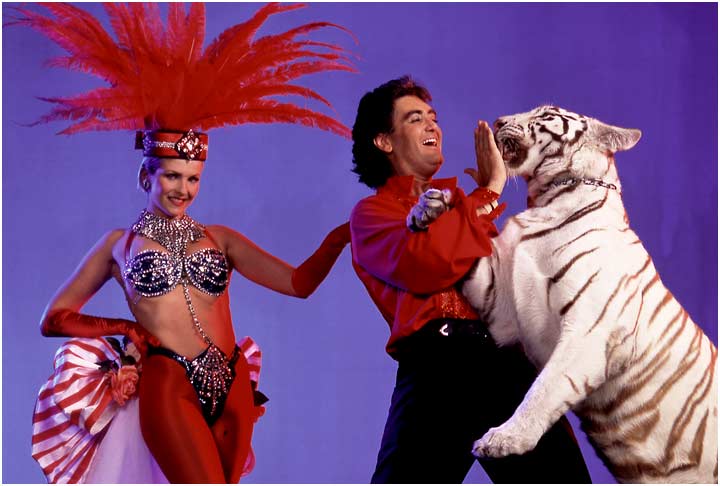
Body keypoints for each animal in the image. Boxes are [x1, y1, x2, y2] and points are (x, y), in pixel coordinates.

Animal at [454, 105, 718, 483]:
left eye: (544, 114)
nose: (499, 121)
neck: (551, 198)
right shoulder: (502, 304)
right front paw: (435, 209)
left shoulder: (589, 331)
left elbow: (544, 388)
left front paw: (503, 439)